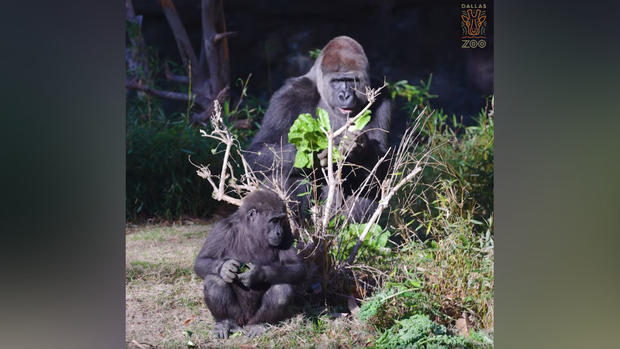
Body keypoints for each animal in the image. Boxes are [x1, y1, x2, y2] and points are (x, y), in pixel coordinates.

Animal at [194, 189, 306, 336]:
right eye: (274, 220)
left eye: (281, 221)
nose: (279, 232)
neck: (251, 230)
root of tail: (246, 320)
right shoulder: (221, 228)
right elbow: (202, 260)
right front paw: (225, 267)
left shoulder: (287, 233)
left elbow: (297, 267)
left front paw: (256, 274)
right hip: (239, 316)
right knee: (214, 281)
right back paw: (225, 322)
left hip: (252, 317)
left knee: (281, 289)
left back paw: (258, 324)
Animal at [245, 35, 390, 220]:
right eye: (336, 81)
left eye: (352, 80)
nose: (345, 95)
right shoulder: (287, 95)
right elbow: (257, 152)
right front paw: (314, 151)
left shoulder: (382, 95)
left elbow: (382, 168)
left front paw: (358, 148)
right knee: (283, 174)